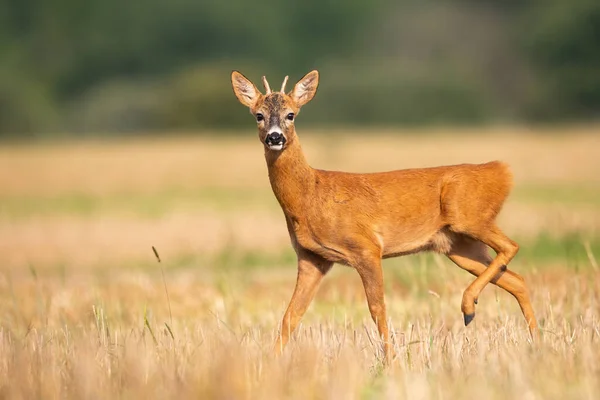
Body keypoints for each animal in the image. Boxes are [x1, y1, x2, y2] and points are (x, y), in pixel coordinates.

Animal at [231, 70, 540, 360]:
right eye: (259, 115)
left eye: (291, 114)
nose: (275, 137)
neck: (310, 196)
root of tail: (501, 172)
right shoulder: (312, 258)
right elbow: (290, 316)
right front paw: (270, 363)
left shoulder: (367, 247)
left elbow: (377, 308)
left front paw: (391, 361)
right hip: (459, 246)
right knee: (517, 280)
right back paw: (532, 340)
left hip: (469, 217)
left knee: (511, 246)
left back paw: (469, 307)